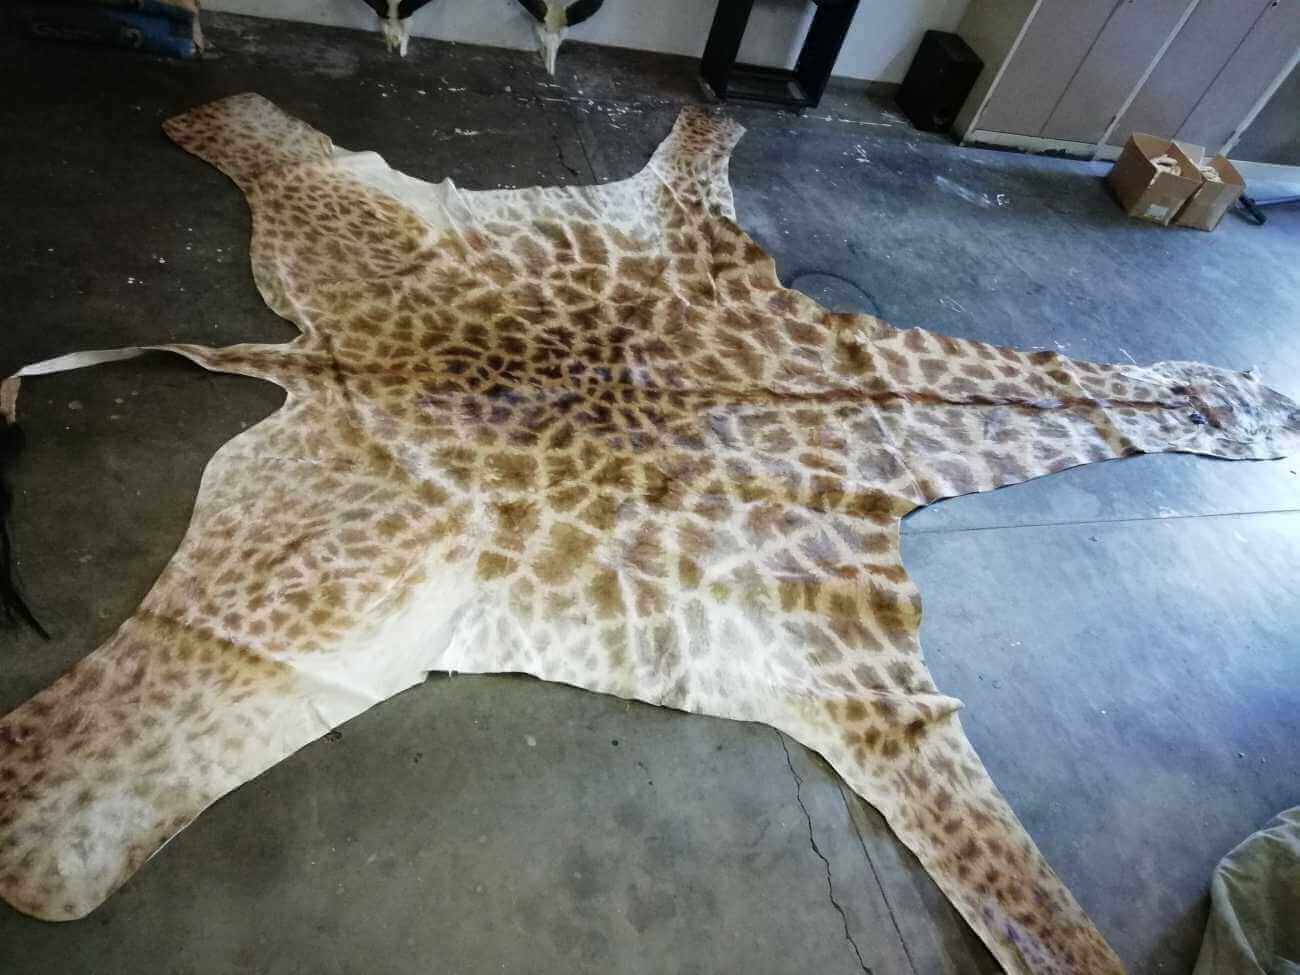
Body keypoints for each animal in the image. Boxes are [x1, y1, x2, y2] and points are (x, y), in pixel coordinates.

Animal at [1, 94, 1297, 974]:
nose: (1275, 406)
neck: (866, 404)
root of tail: (311, 361)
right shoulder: (874, 691)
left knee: (293, 163)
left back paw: (214, 120)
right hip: (313, 576)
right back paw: (30, 848)